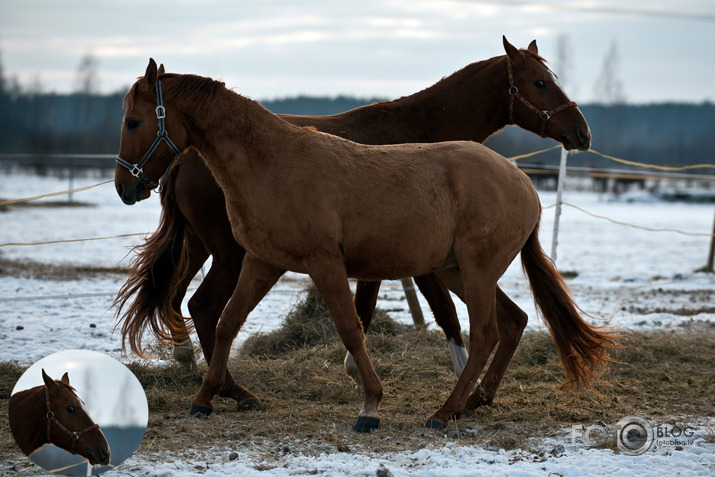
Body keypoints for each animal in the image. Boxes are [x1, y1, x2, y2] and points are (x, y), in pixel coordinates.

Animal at [113, 57, 616, 430]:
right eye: (539, 82)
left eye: (134, 121)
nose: (125, 186)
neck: (271, 161)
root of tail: (522, 181)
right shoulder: (262, 261)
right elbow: (228, 323)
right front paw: (204, 398)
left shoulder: (325, 263)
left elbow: (352, 326)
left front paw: (370, 405)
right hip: (457, 270)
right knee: (511, 322)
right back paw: (473, 401)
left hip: (471, 272)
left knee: (488, 332)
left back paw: (446, 410)